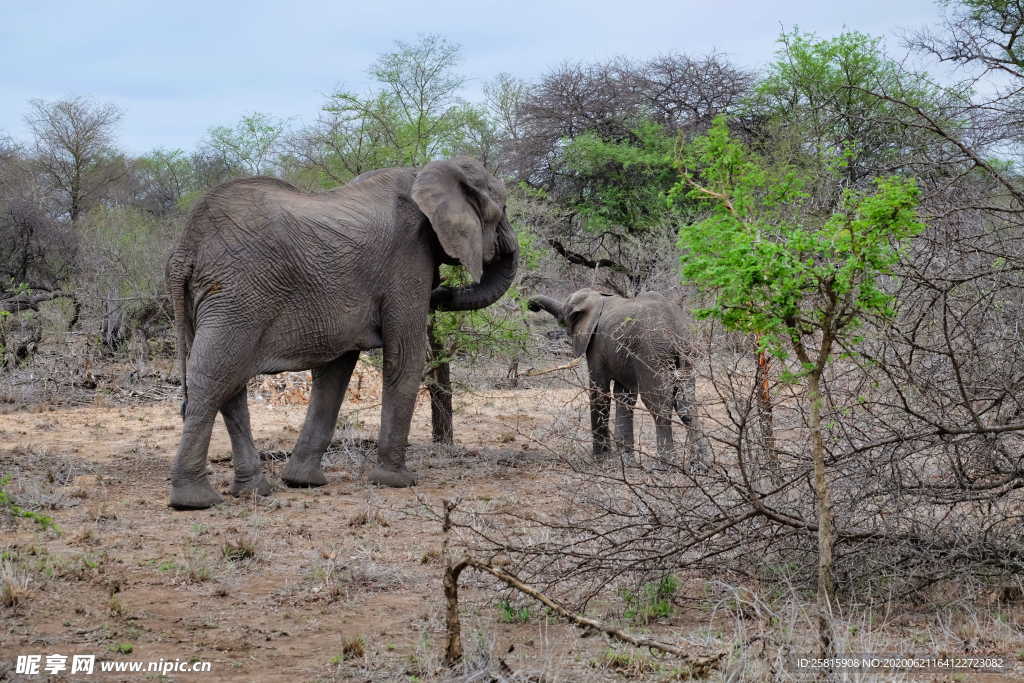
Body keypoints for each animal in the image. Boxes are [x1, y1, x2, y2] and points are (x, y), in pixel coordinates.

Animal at [168, 154, 520, 507]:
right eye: (500, 209)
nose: (443, 292)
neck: (423, 172)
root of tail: (185, 248)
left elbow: (335, 372)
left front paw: (302, 482)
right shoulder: (409, 257)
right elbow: (404, 358)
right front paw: (397, 482)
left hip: (215, 299)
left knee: (230, 385)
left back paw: (253, 490)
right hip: (238, 296)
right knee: (213, 378)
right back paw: (194, 501)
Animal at [528, 288, 712, 464]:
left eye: (564, 315)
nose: (531, 306)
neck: (598, 296)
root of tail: (675, 328)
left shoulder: (596, 345)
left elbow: (600, 392)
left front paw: (601, 459)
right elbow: (624, 397)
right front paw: (626, 460)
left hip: (652, 353)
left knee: (658, 404)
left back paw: (665, 464)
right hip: (687, 352)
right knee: (687, 403)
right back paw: (700, 464)